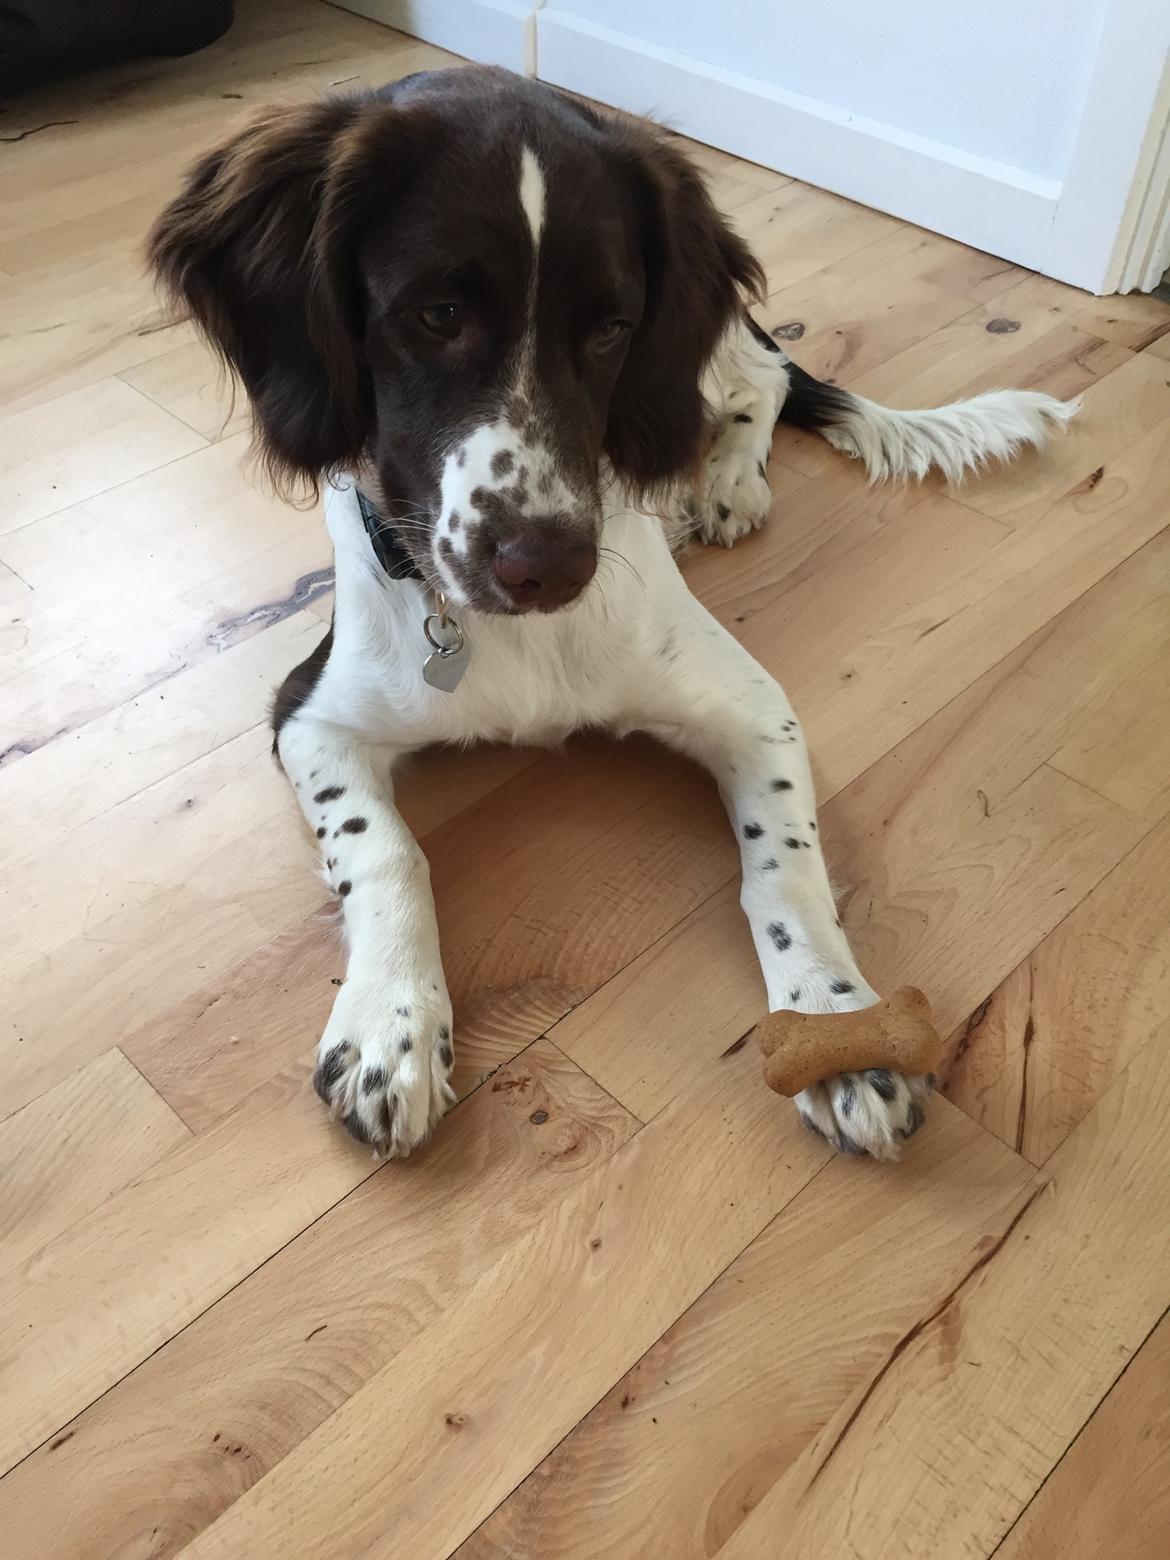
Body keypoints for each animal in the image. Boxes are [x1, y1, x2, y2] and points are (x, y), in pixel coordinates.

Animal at [151, 67, 1079, 1166]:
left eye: (611, 326)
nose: (548, 566)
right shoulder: (312, 714)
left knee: (758, 378)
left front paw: (835, 1017)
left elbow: (785, 869)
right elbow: (383, 849)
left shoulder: (752, 705)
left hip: (711, 355)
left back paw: (726, 479)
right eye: (436, 312)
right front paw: (391, 1027)